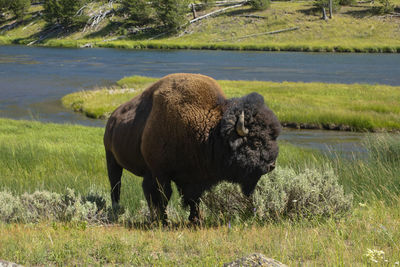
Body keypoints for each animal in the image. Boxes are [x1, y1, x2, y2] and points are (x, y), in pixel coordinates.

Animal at [104, 73, 282, 222]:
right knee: (116, 185)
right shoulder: (159, 173)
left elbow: (194, 198)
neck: (211, 130)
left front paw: (196, 219)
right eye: (256, 142)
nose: (271, 165)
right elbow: (162, 196)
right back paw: (117, 210)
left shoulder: (195, 177)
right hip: (111, 159)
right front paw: (163, 220)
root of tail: (112, 118)